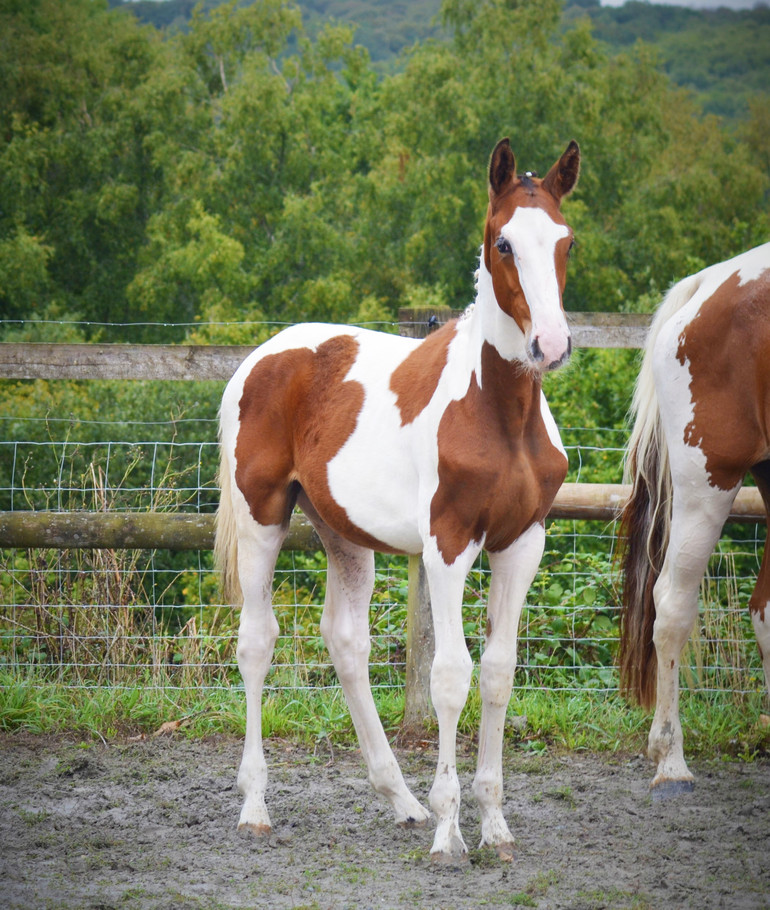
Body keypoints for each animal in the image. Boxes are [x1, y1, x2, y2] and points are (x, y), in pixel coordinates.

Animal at [213, 137, 580, 864]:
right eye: (502, 242)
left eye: (566, 241)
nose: (550, 346)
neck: (499, 414)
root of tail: (260, 358)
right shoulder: (447, 545)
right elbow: (450, 675)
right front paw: (448, 831)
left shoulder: (521, 543)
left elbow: (498, 671)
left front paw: (494, 825)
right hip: (263, 518)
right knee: (257, 643)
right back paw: (255, 806)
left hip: (344, 534)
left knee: (344, 642)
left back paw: (399, 800)